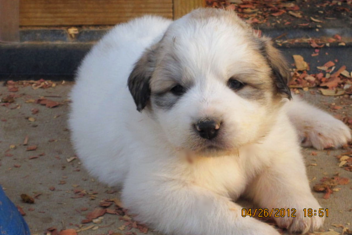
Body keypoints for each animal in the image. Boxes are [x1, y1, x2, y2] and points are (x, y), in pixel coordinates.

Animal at [69, 8, 350, 235]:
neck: (229, 155)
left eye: (236, 83)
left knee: (295, 106)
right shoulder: (160, 190)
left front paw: (302, 208)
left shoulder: (275, 148)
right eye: (177, 89)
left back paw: (330, 128)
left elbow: (285, 177)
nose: (207, 127)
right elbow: (218, 211)